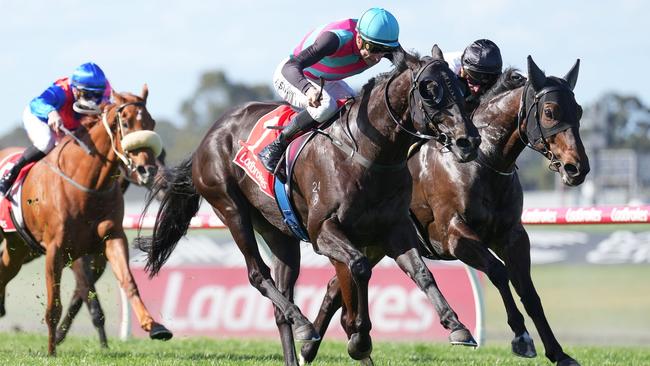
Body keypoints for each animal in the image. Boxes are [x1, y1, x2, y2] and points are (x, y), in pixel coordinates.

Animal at [0, 86, 171, 354]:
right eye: (125, 122)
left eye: (151, 123)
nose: (149, 171)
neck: (88, 184)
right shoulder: (59, 251)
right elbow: (57, 305)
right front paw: (52, 350)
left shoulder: (110, 240)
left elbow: (126, 283)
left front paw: (154, 326)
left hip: (20, 248)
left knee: (4, 268)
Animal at [138, 45, 480, 366]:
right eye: (429, 90)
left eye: (461, 89)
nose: (469, 141)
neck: (368, 153)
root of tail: (208, 138)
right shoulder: (323, 231)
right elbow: (358, 268)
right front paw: (359, 339)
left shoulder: (394, 230)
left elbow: (421, 273)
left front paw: (457, 326)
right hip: (231, 209)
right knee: (257, 274)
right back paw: (303, 322)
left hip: (279, 233)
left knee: (281, 297)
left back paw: (297, 335)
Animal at [298, 56, 588, 366]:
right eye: (550, 112)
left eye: (579, 111)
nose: (578, 168)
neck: (484, 161)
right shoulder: (453, 235)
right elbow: (498, 272)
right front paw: (521, 337)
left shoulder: (513, 236)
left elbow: (529, 293)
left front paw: (558, 353)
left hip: (376, 244)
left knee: (334, 288)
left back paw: (310, 347)